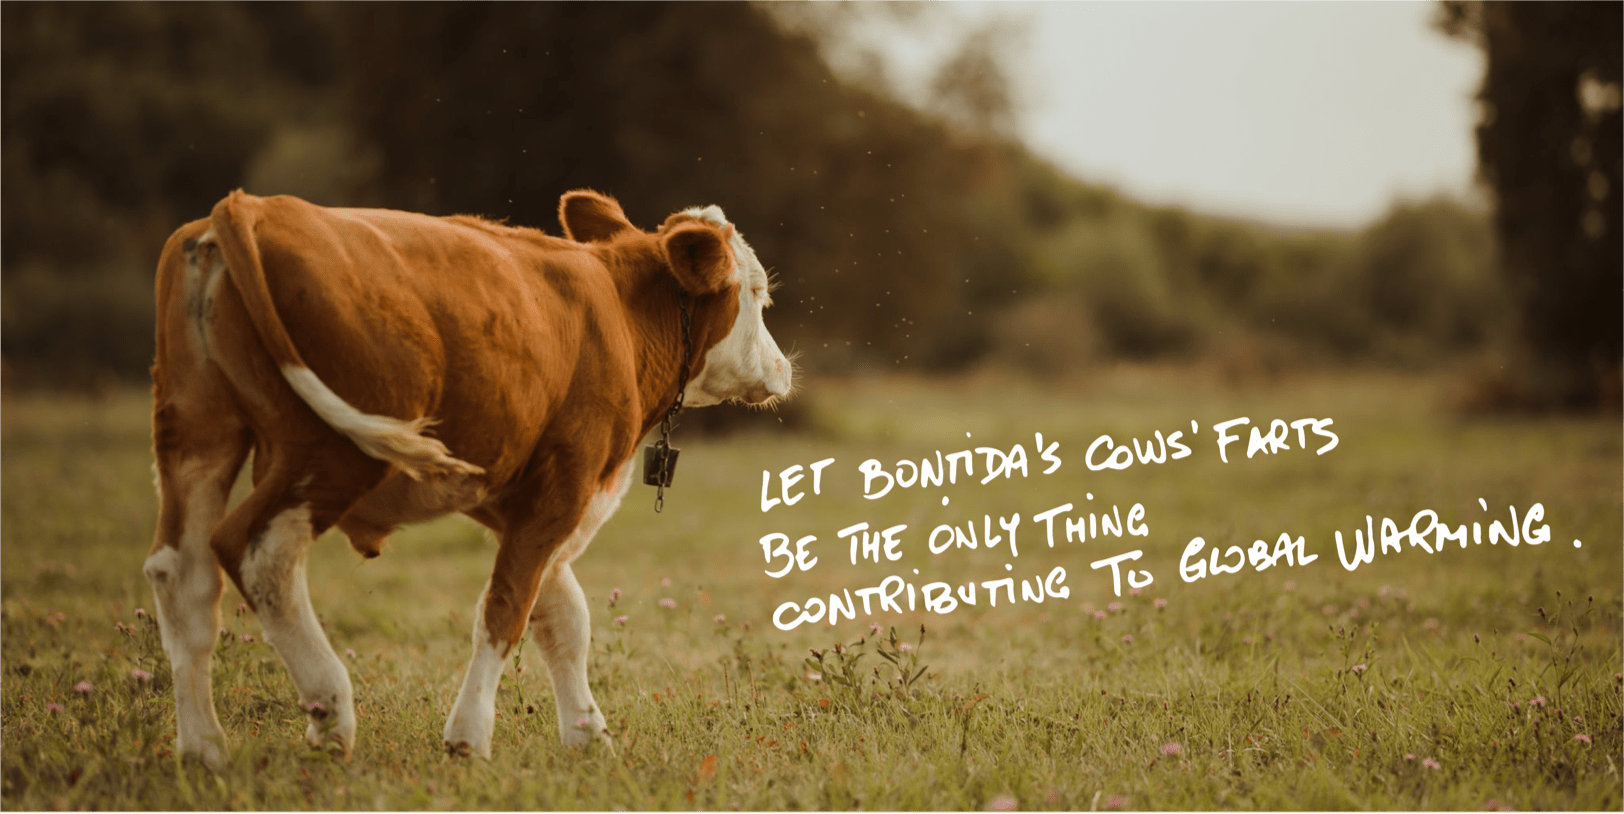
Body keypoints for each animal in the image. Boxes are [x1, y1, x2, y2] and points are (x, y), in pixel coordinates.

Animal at [142, 189, 792, 767]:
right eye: (757, 293)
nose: (784, 368)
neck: (622, 318)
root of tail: (252, 206)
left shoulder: (522, 497)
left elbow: (561, 616)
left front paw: (588, 737)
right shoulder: (567, 480)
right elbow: (506, 609)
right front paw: (469, 736)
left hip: (197, 434)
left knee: (183, 575)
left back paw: (203, 749)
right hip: (328, 452)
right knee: (260, 554)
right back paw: (331, 713)